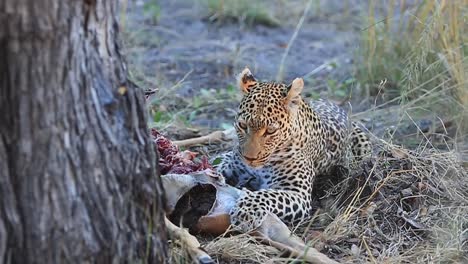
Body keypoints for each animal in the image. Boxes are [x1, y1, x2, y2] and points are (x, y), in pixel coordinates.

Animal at [218, 67, 372, 231]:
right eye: (242, 125)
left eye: (270, 131)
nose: (249, 158)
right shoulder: (232, 164)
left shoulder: (298, 194)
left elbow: (268, 195)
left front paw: (246, 211)